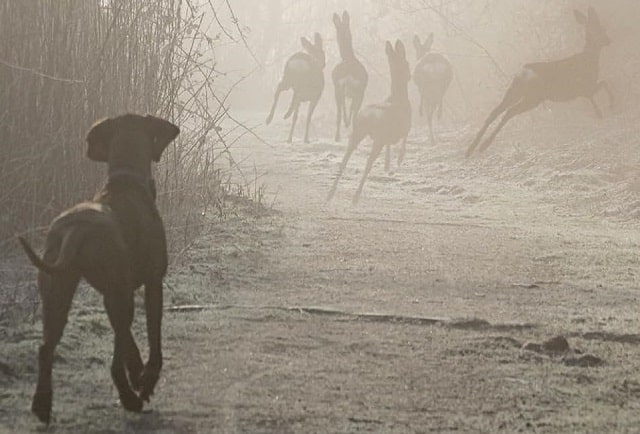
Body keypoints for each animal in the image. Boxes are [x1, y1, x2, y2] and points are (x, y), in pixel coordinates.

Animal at [19, 113, 179, 426]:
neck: (125, 179)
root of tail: (76, 229)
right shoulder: (153, 283)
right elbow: (152, 340)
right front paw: (147, 379)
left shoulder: (112, 292)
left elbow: (127, 339)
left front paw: (137, 372)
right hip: (112, 292)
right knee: (113, 365)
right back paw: (130, 400)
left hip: (57, 292)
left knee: (45, 348)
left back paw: (42, 404)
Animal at [328, 39, 412, 204]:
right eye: (406, 63)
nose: (410, 75)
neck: (399, 98)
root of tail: (367, 115)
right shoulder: (404, 127)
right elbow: (404, 141)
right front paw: (398, 160)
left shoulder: (388, 136)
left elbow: (392, 146)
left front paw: (387, 164)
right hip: (377, 138)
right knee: (368, 162)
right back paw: (355, 196)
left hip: (357, 131)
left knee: (345, 158)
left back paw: (331, 193)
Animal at [332, 10, 368, 142]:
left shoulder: (338, 87)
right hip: (356, 91)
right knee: (352, 113)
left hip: (350, 91)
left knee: (344, 112)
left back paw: (339, 135)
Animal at [468, 7, 612, 158]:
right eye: (600, 29)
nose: (608, 40)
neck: (589, 59)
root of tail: (524, 71)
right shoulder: (585, 87)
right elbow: (603, 85)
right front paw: (605, 109)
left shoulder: (585, 89)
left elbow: (601, 86)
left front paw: (603, 110)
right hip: (532, 97)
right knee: (509, 111)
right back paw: (483, 145)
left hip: (516, 91)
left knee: (496, 111)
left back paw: (471, 149)